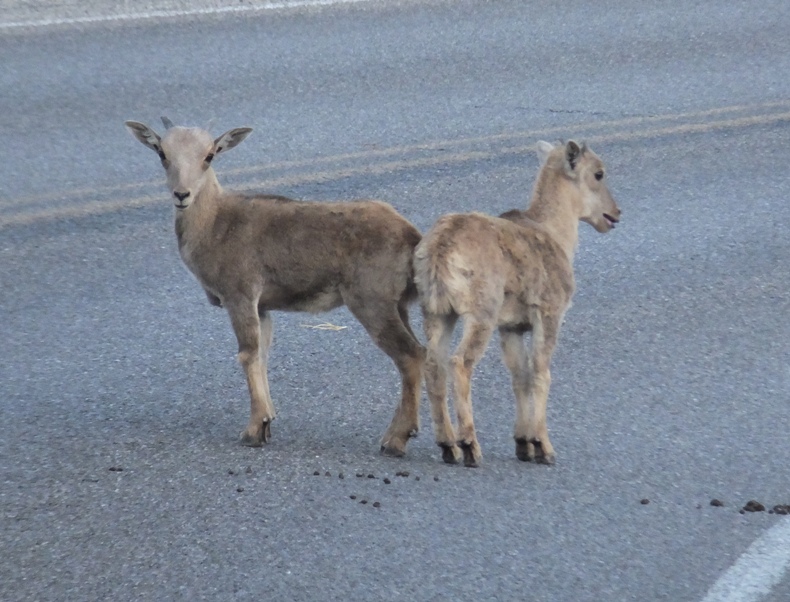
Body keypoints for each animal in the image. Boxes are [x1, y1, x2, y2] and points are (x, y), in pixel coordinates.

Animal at [125, 119, 426, 452]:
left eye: (209, 156)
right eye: (162, 153)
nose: (182, 194)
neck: (215, 225)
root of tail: (412, 236)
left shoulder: (240, 293)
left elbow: (247, 354)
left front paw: (253, 430)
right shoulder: (263, 306)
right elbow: (262, 355)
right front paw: (267, 422)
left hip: (372, 301)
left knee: (410, 355)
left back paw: (395, 439)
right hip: (397, 304)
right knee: (421, 352)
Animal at [412, 139, 620, 464]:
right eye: (599, 173)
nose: (615, 214)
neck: (556, 235)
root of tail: (439, 251)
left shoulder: (511, 327)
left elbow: (520, 375)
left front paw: (524, 444)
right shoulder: (549, 314)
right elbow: (540, 373)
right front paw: (544, 447)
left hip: (437, 312)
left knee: (434, 365)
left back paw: (449, 447)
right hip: (480, 314)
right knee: (459, 362)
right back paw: (470, 446)